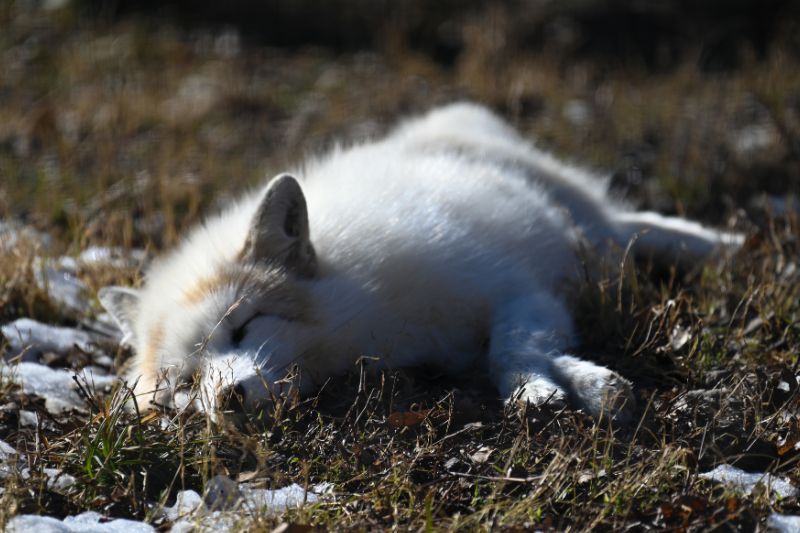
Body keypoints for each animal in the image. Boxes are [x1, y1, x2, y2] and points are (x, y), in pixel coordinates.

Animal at [99, 103, 743, 423]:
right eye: (185, 384)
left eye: (243, 327)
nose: (226, 401)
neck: (365, 319)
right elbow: (517, 351)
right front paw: (555, 384)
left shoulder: (518, 288)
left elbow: (512, 347)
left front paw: (556, 385)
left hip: (586, 227)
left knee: (633, 227)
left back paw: (724, 247)